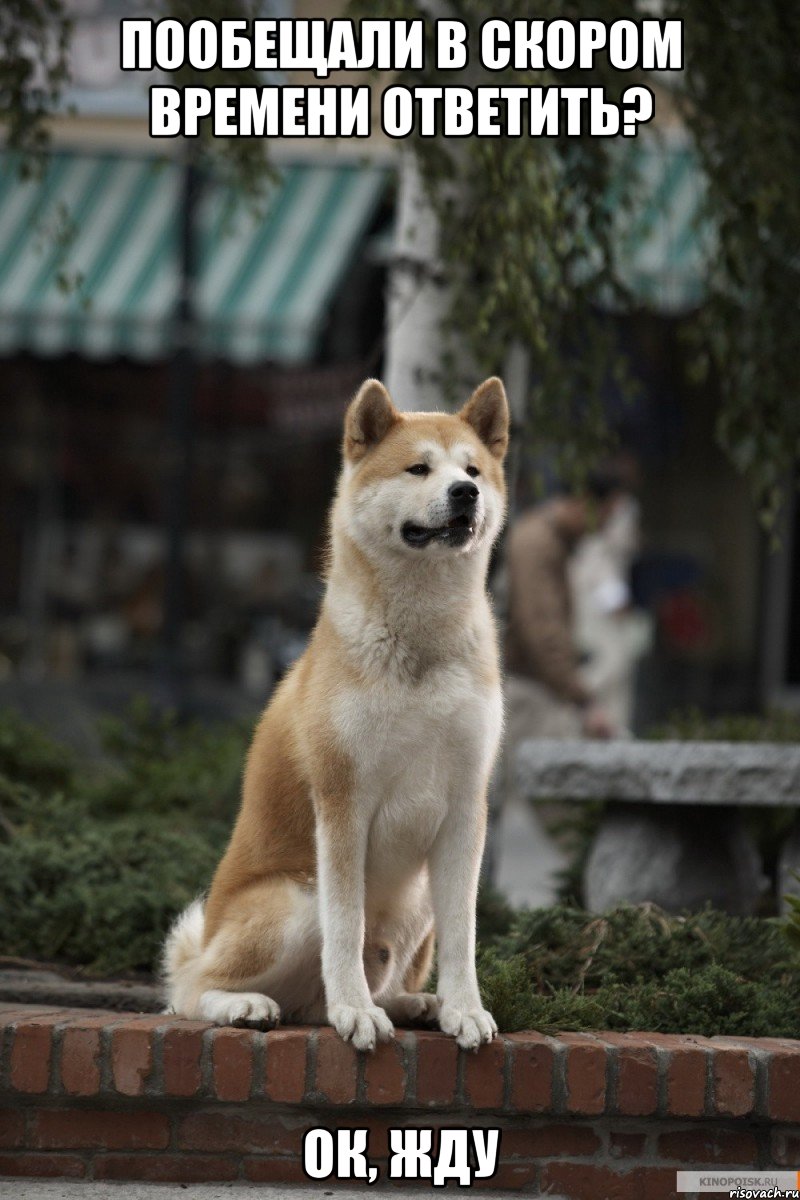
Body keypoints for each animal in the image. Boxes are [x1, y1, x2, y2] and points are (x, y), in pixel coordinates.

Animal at [165, 374, 510, 1051]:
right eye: (418, 468)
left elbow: (464, 935)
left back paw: (415, 1003)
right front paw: (355, 1011)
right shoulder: (343, 801)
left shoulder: (466, 806)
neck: (420, 643)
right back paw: (250, 1005)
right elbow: (346, 928)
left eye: (473, 470)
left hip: (417, 900)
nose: (465, 493)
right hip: (295, 900)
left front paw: (464, 1009)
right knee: (189, 990)